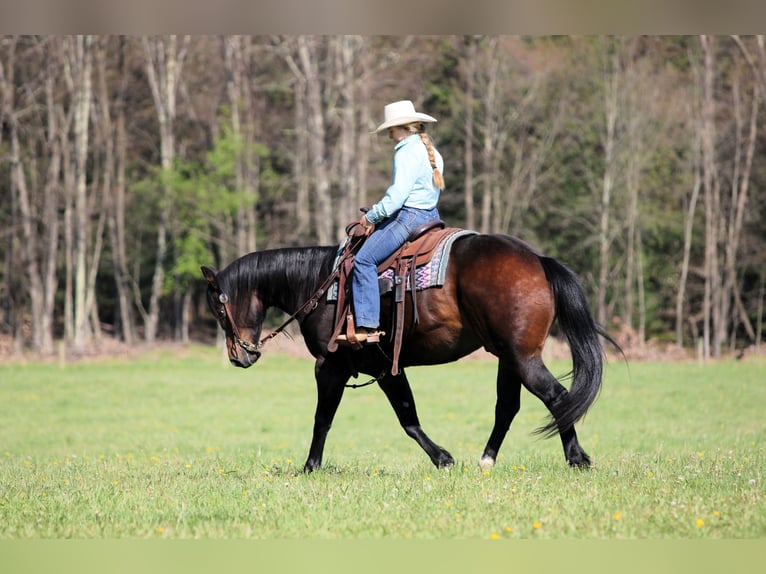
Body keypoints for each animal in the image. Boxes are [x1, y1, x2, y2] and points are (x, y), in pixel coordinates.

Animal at [201, 231, 617, 473]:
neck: (320, 284)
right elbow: (408, 416)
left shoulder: (331, 366)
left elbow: (326, 419)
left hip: (523, 358)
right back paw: (486, 460)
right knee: (508, 407)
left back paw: (576, 458)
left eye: (219, 309)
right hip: (509, 357)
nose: (240, 356)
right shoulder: (387, 369)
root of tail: (537, 261)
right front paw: (444, 458)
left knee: (557, 396)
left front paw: (310, 467)